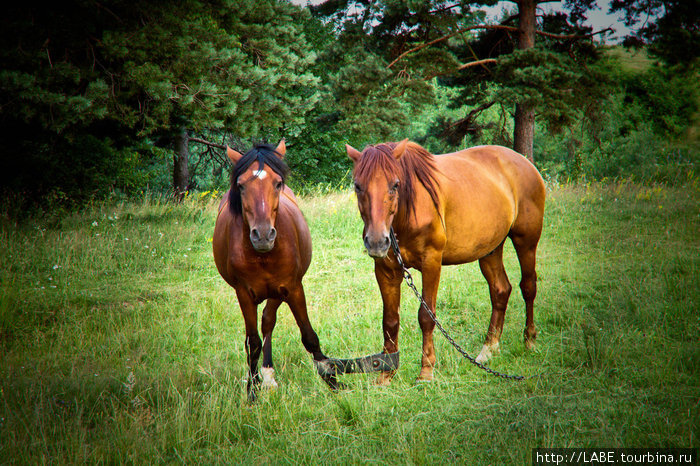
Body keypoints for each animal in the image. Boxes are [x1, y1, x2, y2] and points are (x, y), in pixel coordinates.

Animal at [213, 140, 340, 398]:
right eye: (241, 185)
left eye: (278, 183)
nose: (262, 235)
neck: (262, 255)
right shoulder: (243, 294)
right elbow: (252, 343)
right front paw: (252, 391)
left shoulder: (292, 288)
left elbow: (309, 336)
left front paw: (332, 382)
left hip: (279, 292)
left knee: (268, 319)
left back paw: (269, 373)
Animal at [348, 139, 544, 382]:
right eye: (358, 186)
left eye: (395, 185)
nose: (376, 241)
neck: (408, 212)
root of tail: (525, 164)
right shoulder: (385, 269)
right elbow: (390, 320)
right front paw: (386, 374)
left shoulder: (431, 262)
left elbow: (426, 316)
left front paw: (426, 371)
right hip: (490, 250)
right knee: (500, 291)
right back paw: (488, 349)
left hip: (526, 242)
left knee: (528, 287)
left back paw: (530, 340)